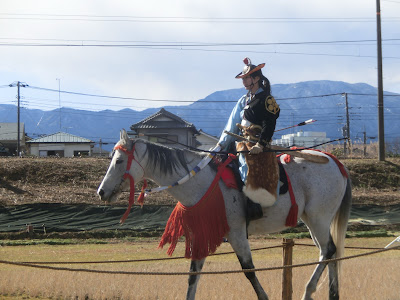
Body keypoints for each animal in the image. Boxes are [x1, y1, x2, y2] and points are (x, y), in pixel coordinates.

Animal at [98, 129, 352, 300]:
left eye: (119, 160)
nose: (102, 192)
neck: (200, 182)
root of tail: (335, 162)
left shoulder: (237, 232)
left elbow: (249, 270)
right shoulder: (201, 234)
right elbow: (193, 274)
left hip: (318, 218)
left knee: (328, 250)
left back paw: (309, 292)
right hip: (313, 220)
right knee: (329, 251)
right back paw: (332, 293)